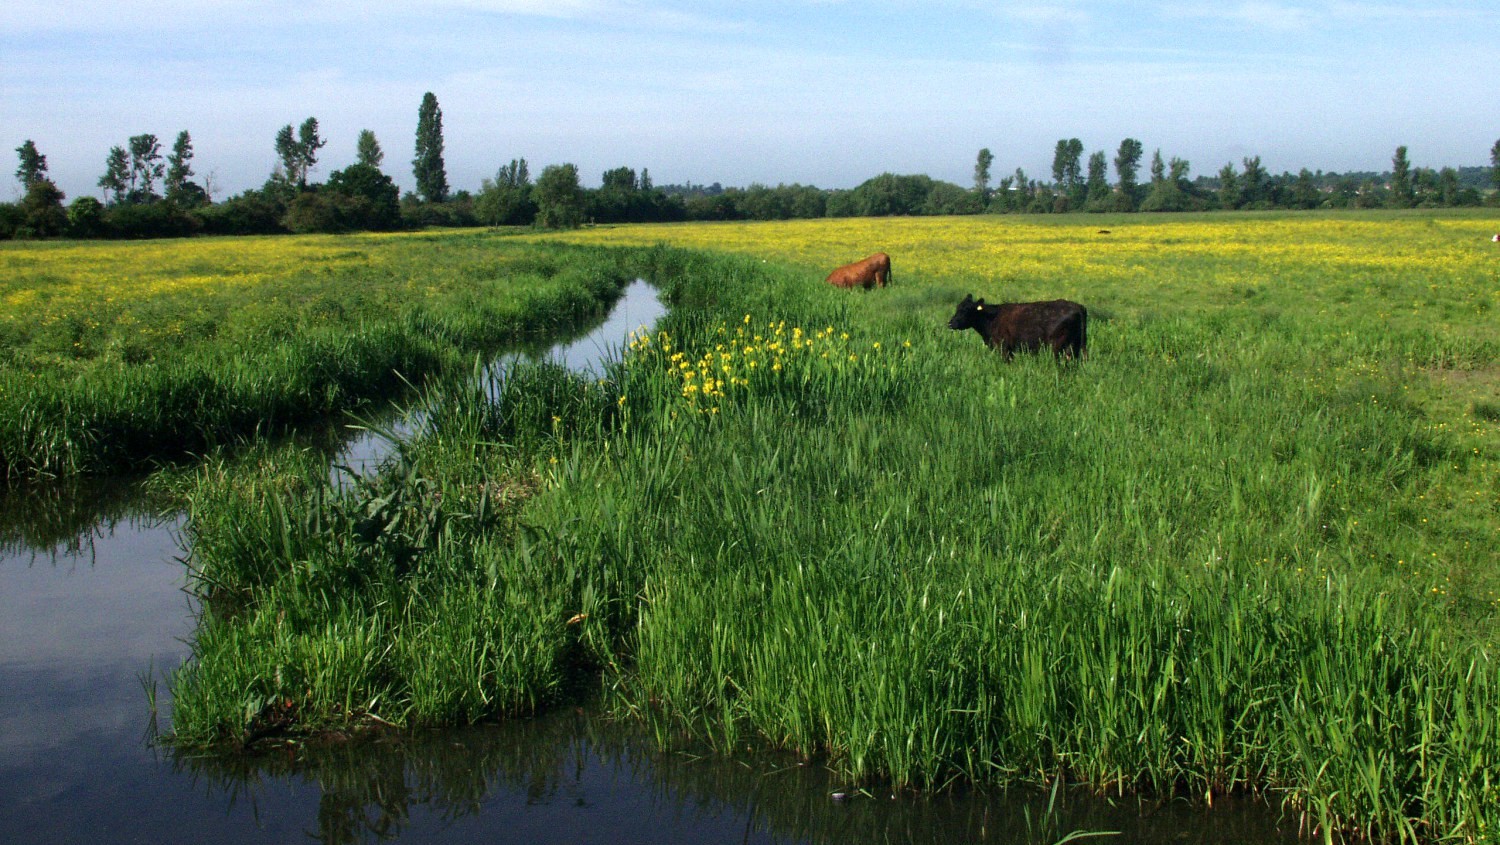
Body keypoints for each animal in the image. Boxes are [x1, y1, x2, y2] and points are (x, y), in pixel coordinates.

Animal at [948, 294, 1092, 360]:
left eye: (966, 310)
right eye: (957, 307)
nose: (950, 323)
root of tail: (1078, 306)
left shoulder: (1003, 347)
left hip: (1058, 346)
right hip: (1076, 345)